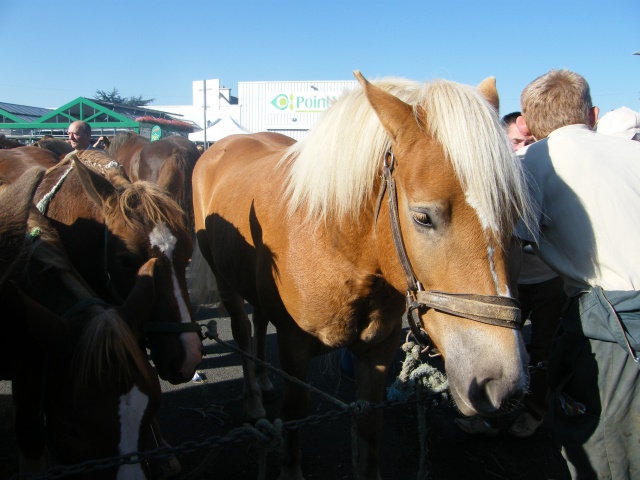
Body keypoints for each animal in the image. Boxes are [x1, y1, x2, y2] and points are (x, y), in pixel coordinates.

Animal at [189, 69, 536, 478]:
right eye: (423, 217)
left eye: (514, 217)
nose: (504, 384)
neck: (334, 245)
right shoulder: (293, 346)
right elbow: (295, 417)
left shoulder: (377, 350)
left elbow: (370, 425)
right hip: (223, 279)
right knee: (243, 331)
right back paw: (254, 399)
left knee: (258, 319)